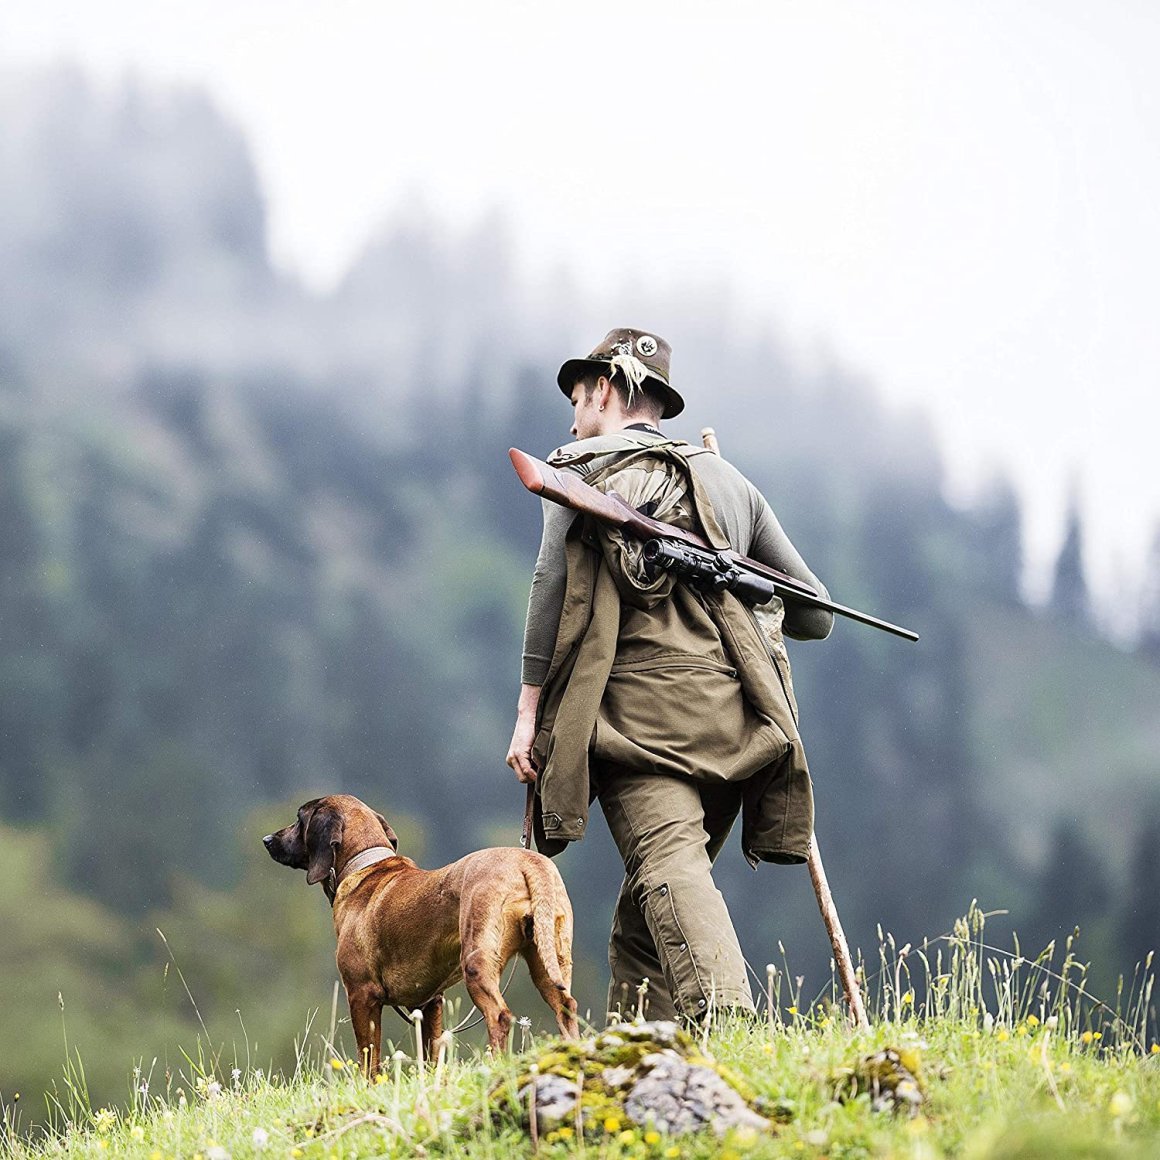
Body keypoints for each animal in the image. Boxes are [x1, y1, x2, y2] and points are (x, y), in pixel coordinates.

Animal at [258, 793, 575, 1071]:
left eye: (299, 819)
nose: (267, 840)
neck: (364, 865)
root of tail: (527, 861)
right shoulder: (429, 1003)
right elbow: (430, 1055)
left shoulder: (361, 995)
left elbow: (368, 1057)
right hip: (549, 962)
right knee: (566, 1006)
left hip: (477, 963)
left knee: (500, 1016)